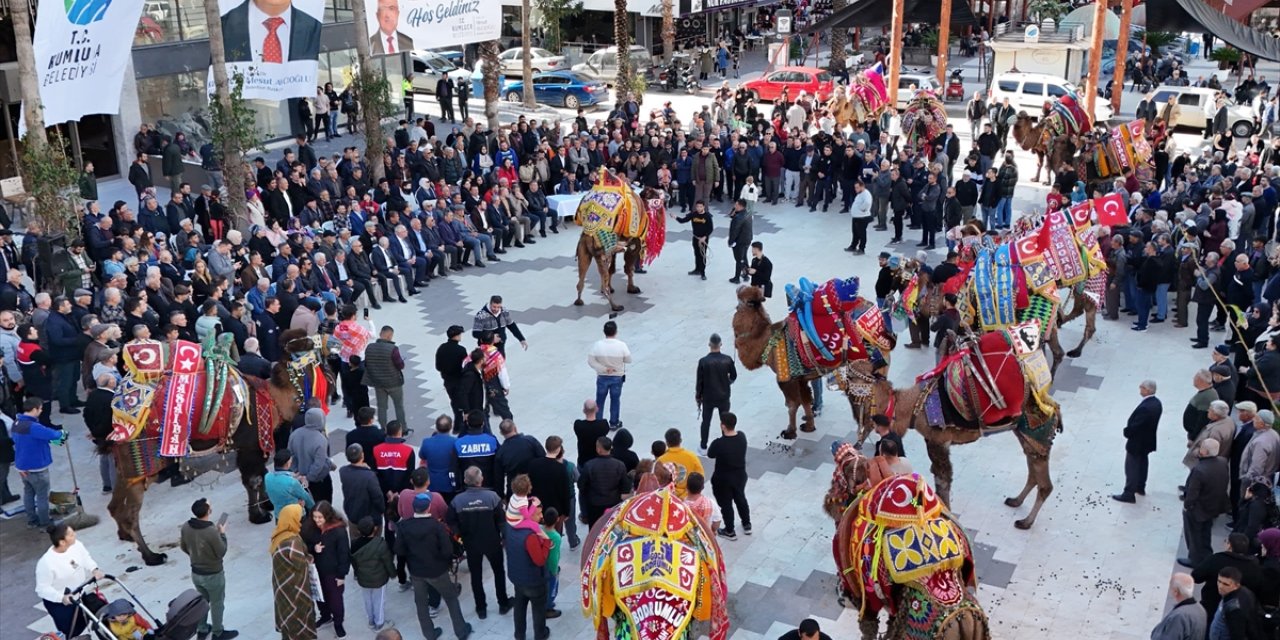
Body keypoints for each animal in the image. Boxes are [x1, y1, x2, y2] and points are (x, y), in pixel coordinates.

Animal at [106, 330, 327, 565]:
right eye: (307, 354)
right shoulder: (250, 444)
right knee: (130, 513)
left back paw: (125, 536)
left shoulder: (250, 446)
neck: (272, 399)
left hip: (127, 468)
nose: (329, 372)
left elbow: (259, 475)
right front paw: (258, 516)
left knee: (115, 507)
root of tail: (117, 422)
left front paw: (266, 505)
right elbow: (253, 479)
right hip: (142, 464)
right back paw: (152, 556)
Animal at [573, 168, 665, 311]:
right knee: (602, 279)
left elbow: (613, 269)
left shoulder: (614, 250)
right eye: (655, 193)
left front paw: (614, 287)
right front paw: (632, 288)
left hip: (584, 252)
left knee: (581, 279)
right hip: (602, 254)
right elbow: (629, 267)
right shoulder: (634, 243)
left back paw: (579, 301)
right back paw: (615, 306)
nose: (664, 194)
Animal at [737, 277, 896, 437]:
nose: (737, 302)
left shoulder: (786, 378)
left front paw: (789, 432)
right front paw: (809, 425)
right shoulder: (800, 378)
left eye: (743, 303)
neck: (766, 341)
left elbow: (792, 404)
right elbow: (806, 400)